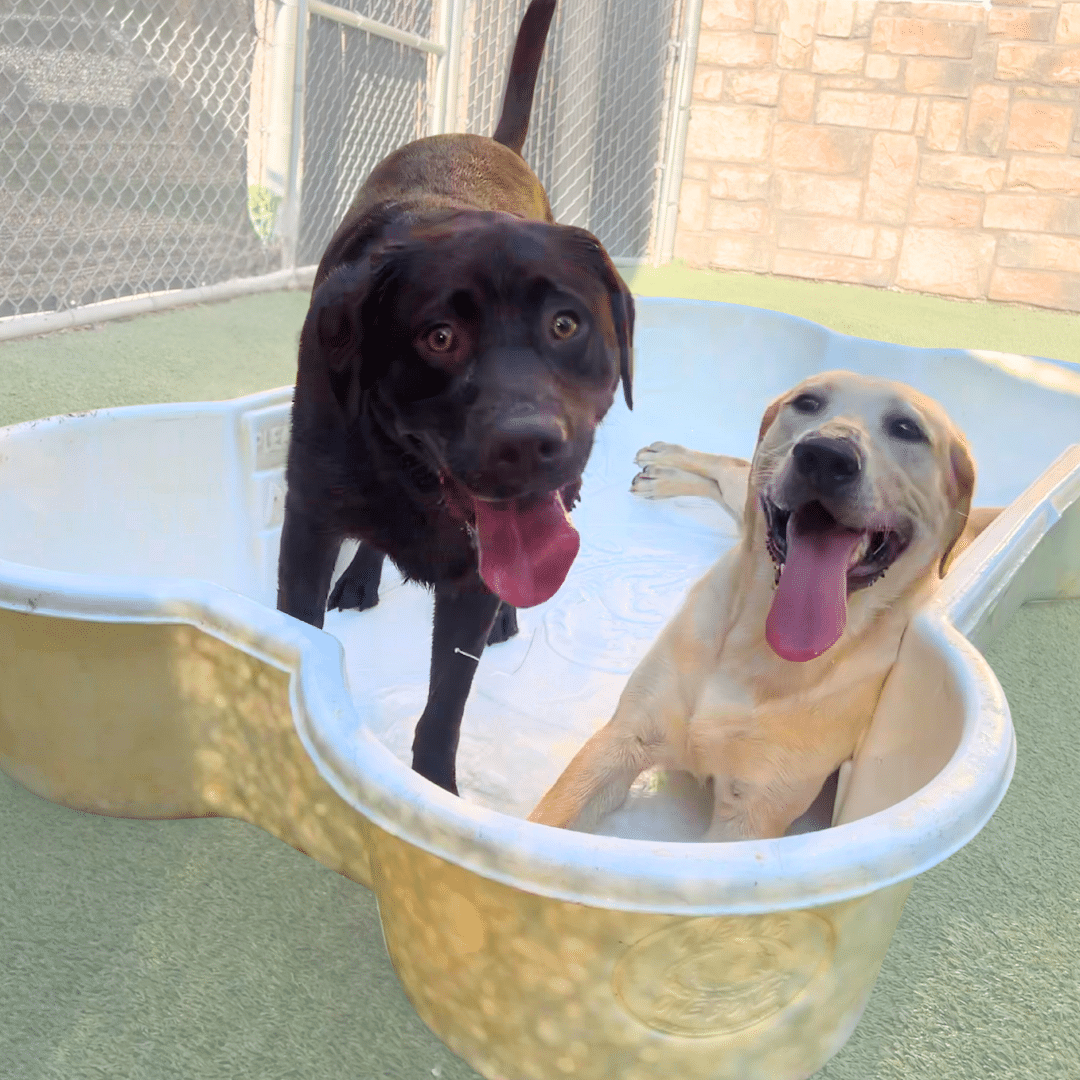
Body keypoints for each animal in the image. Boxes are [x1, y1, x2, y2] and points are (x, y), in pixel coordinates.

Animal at [276, 0, 630, 794]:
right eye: (439, 337)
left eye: (566, 324)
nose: (528, 444)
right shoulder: (308, 519)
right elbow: (297, 638)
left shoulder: (472, 577)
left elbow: (446, 702)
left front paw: (432, 793)